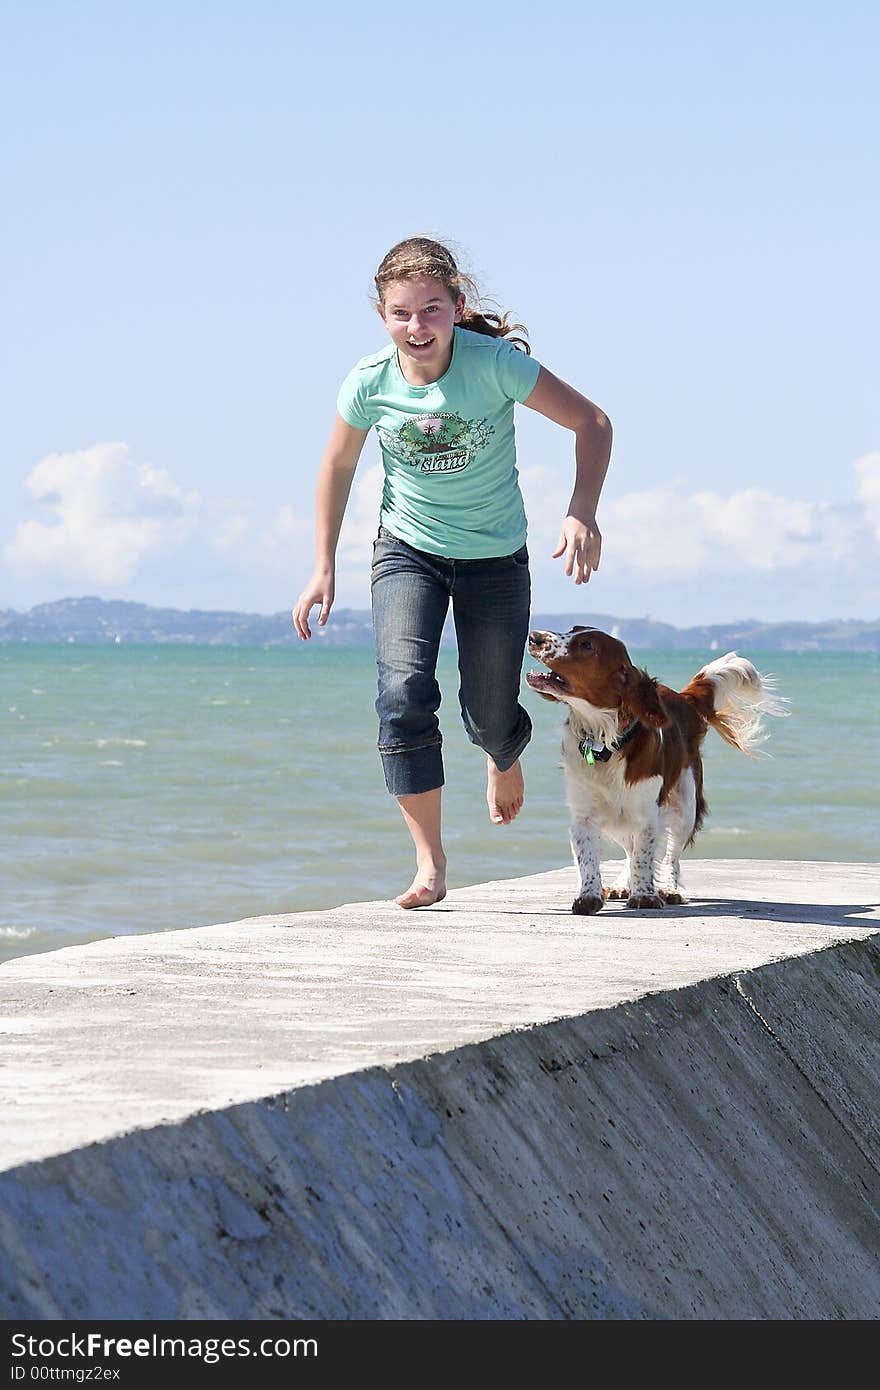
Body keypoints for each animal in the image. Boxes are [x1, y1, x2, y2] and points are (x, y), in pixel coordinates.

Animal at [525, 628, 784, 911]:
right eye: (572, 630)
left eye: (586, 645)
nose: (534, 636)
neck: (604, 741)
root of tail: (683, 699)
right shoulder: (584, 815)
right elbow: (589, 858)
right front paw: (589, 896)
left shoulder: (647, 813)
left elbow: (644, 856)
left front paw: (645, 895)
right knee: (630, 849)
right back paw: (621, 885)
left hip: (685, 806)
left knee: (671, 856)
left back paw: (669, 889)